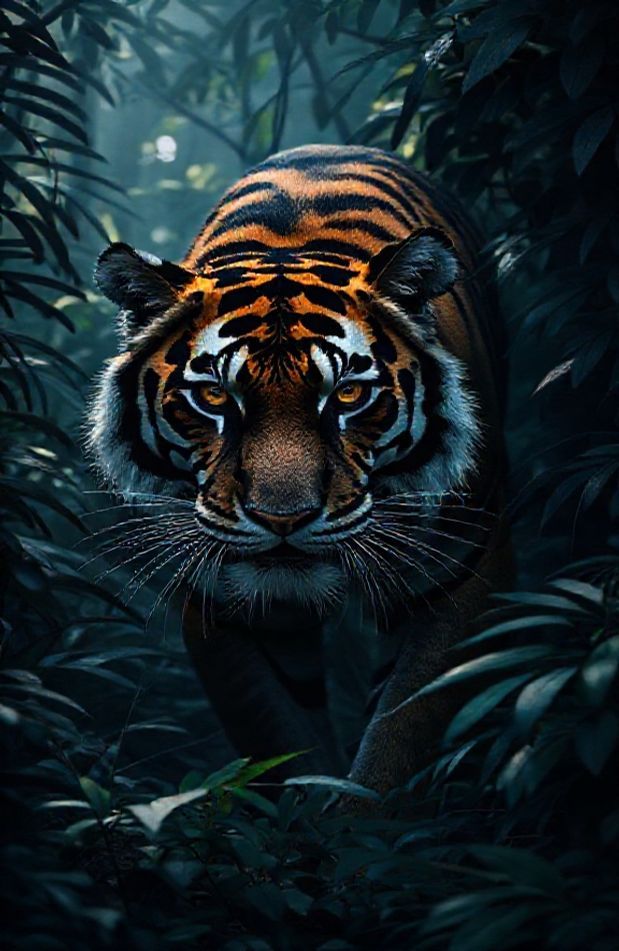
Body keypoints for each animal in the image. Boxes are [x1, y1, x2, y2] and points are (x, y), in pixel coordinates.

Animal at [89, 144, 511, 796]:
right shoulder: (222, 606)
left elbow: (397, 742)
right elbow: (283, 748)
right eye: (214, 397)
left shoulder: (461, 574)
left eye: (347, 395)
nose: (282, 519)